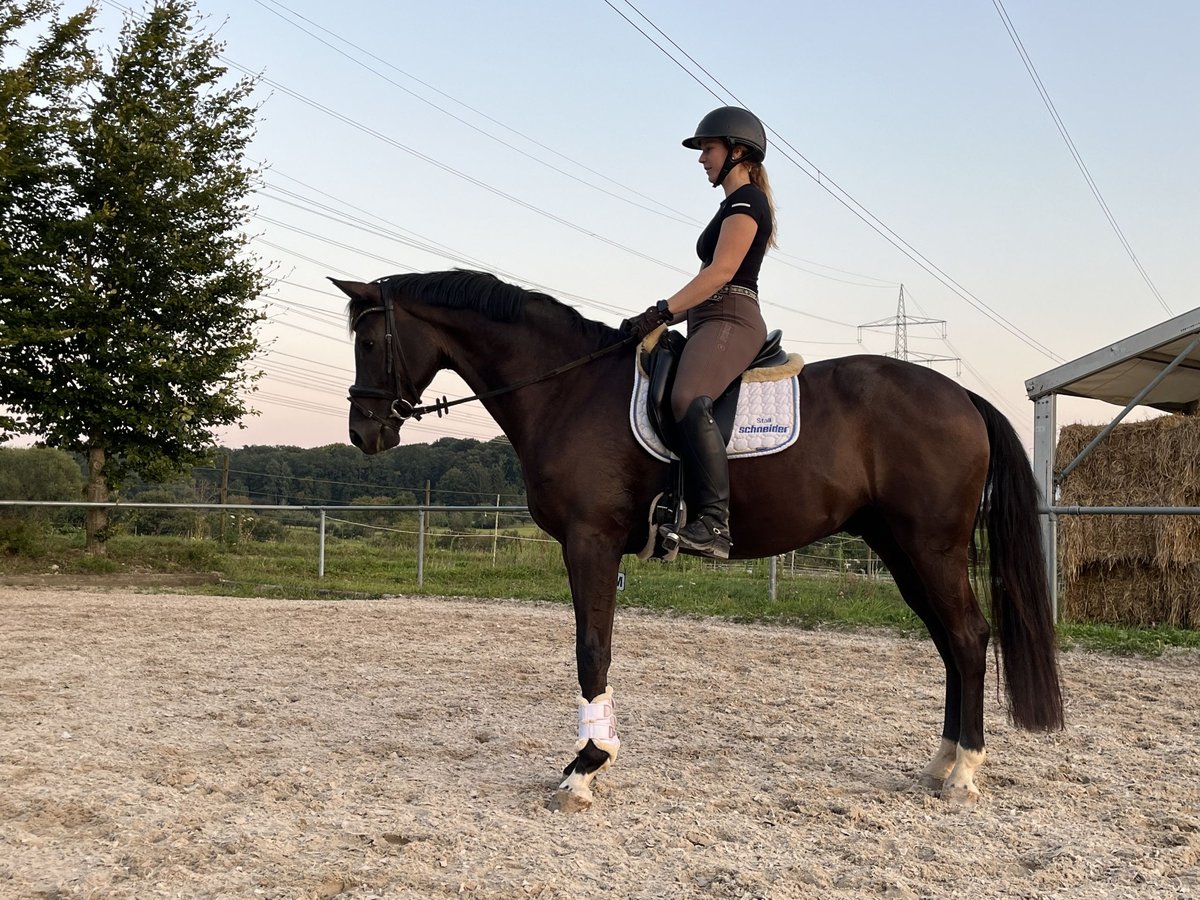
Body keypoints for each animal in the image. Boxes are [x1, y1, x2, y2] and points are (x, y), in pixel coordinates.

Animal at [333, 267, 1065, 811]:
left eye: (368, 343)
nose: (364, 433)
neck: (568, 388)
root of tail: (962, 397)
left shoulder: (589, 539)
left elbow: (591, 650)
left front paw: (585, 768)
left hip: (929, 547)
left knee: (967, 638)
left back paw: (963, 773)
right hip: (901, 549)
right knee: (950, 644)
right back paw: (940, 763)